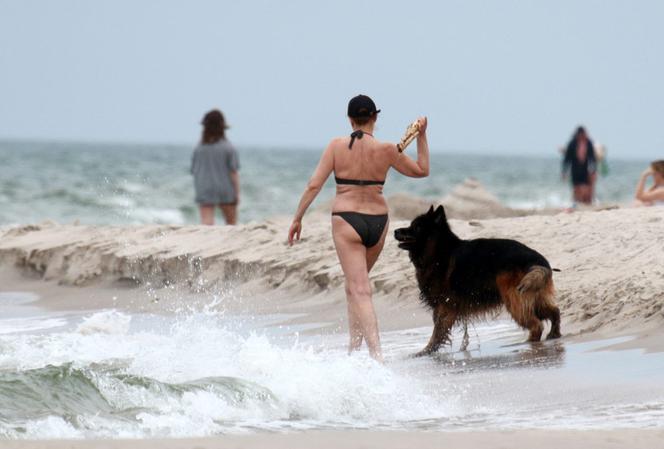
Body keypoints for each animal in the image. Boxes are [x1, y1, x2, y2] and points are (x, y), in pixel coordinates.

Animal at [394, 205, 560, 356]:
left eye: (416, 227)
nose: (395, 231)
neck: (438, 251)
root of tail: (536, 260)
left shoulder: (444, 307)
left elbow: (437, 332)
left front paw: (426, 351)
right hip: (534, 298)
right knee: (554, 311)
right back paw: (554, 334)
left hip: (515, 301)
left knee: (536, 325)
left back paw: (530, 343)